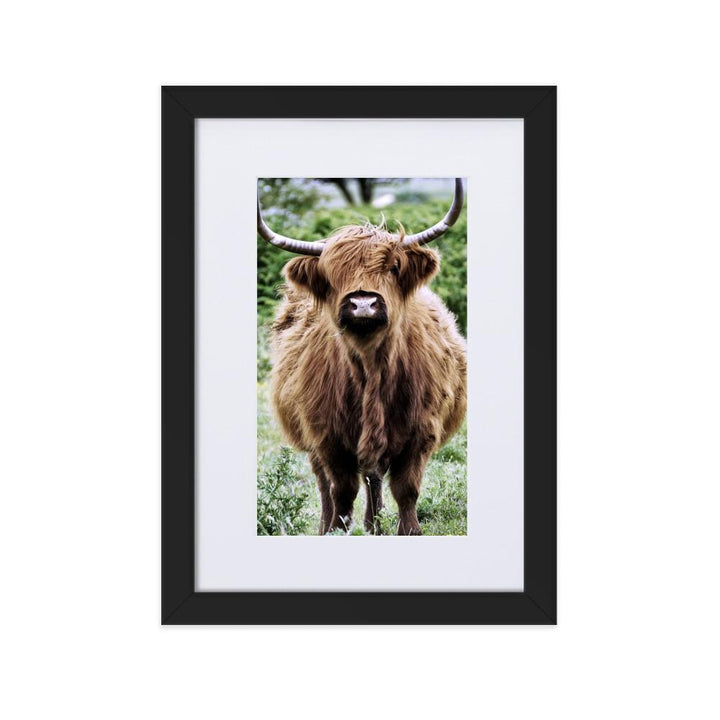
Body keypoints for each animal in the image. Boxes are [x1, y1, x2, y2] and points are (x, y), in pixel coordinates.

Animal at [258, 179, 467, 535]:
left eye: (393, 267)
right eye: (332, 273)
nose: (363, 304)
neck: (372, 369)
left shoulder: (421, 432)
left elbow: (406, 488)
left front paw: (409, 530)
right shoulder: (327, 436)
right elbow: (341, 490)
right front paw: (337, 530)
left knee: (374, 477)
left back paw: (374, 524)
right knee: (326, 484)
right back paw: (333, 526)